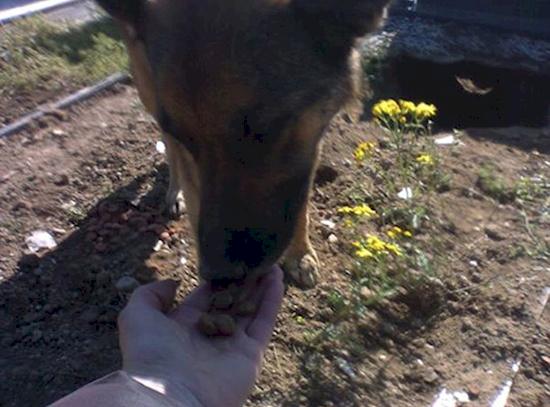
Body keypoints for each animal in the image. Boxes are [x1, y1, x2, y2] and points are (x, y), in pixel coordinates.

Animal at [97, 0, 390, 286]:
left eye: (266, 128)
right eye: (187, 137)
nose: (216, 276)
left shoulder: (309, 140)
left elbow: (301, 198)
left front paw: (300, 254)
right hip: (148, 86)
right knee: (169, 149)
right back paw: (174, 191)